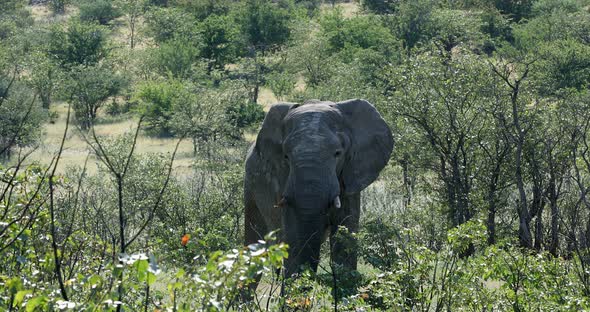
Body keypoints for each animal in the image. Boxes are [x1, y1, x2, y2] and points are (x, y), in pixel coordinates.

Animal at [243, 98, 396, 276]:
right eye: (286, 156)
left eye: (338, 153)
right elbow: (294, 236)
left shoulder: (349, 177)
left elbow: (345, 234)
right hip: (250, 186)